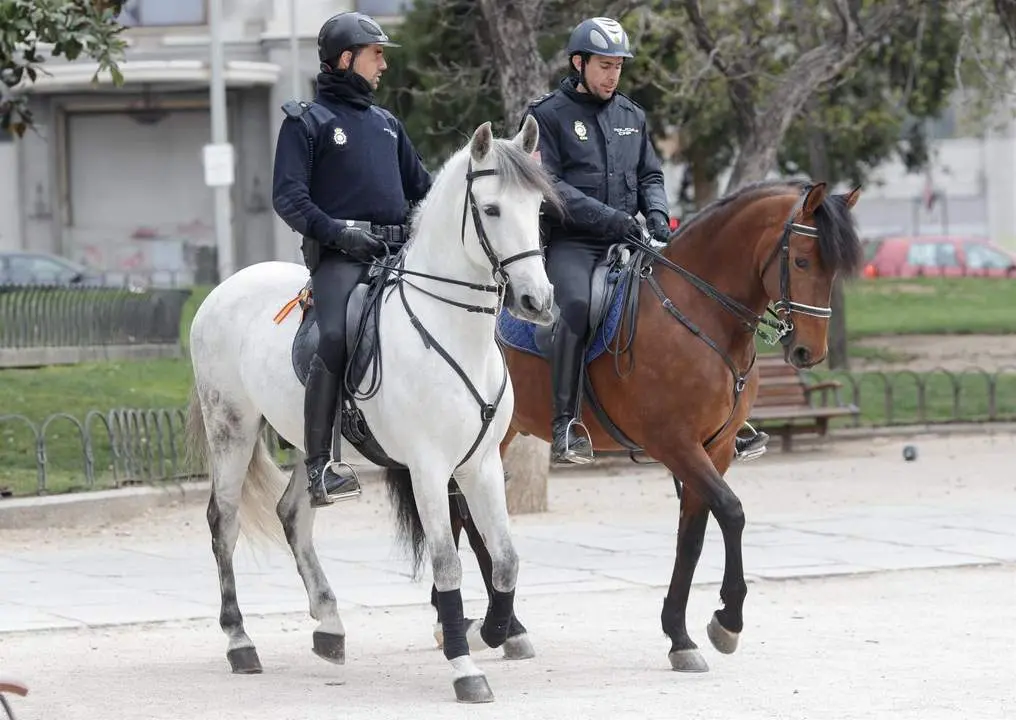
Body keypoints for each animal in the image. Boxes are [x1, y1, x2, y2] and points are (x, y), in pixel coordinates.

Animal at [185, 116, 561, 703]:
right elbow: (448, 563)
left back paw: (329, 626)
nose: (537, 303)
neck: (454, 332)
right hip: (232, 427)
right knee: (224, 521)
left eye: (538, 209)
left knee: (294, 513)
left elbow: (505, 559)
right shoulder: (429, 468)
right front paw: (464, 665)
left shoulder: (480, 464)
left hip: (311, 444)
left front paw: (497, 631)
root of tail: (223, 289)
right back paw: (240, 642)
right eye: (493, 209)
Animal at [432, 179, 864, 672]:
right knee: (464, 513)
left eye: (834, 268)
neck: (700, 312)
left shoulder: (714, 449)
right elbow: (731, 512)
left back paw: (492, 627)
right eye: (802, 260)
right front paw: (727, 621)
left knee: (466, 513)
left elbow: (692, 536)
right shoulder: (674, 443)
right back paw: (489, 626)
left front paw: (680, 635)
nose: (810, 352)